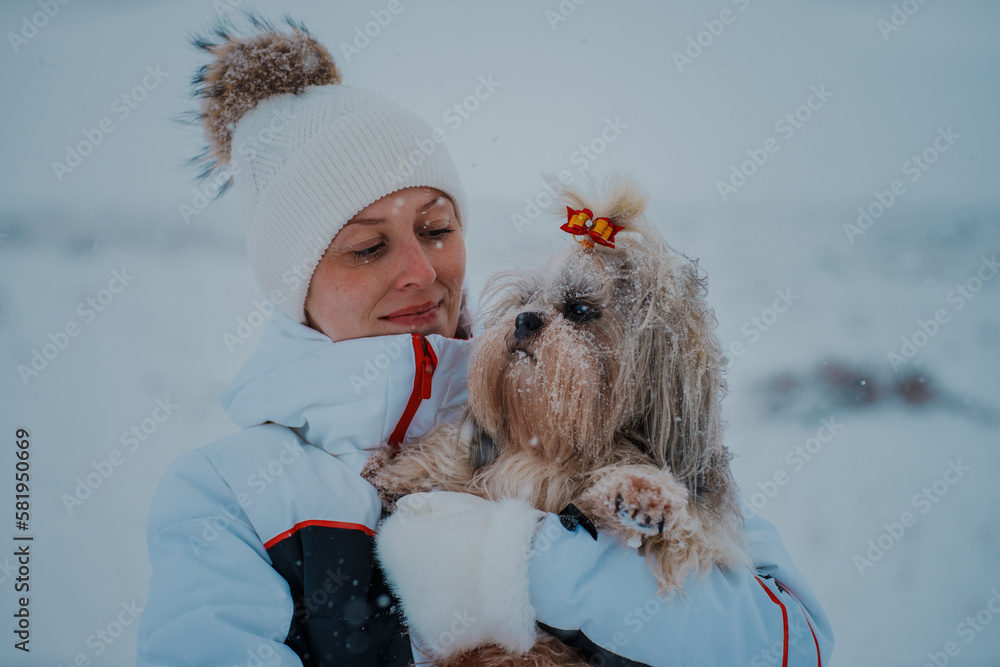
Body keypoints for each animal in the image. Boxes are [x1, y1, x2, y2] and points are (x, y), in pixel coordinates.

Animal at [364, 174, 748, 667]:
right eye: (525, 300)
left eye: (580, 309)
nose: (524, 320)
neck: (549, 445)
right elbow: (424, 466)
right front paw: (389, 473)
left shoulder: (695, 533)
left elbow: (676, 528)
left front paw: (642, 491)